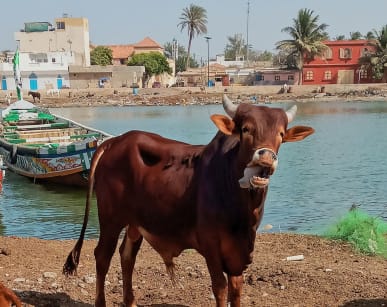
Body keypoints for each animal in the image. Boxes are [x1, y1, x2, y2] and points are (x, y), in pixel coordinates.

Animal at [63, 95, 316, 306]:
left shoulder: (239, 252)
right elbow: (220, 288)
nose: (265, 158)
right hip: (110, 218)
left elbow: (236, 289)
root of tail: (114, 142)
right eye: (246, 129)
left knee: (127, 257)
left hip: (136, 222)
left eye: (281, 134)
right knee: (102, 257)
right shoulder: (211, 245)